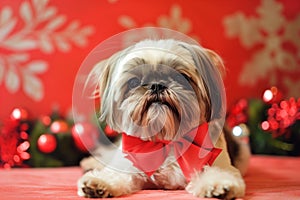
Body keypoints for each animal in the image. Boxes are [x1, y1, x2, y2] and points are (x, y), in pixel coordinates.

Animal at [76, 38, 250, 198]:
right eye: (133, 82)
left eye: (181, 77)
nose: (156, 85)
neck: (164, 141)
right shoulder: (128, 162)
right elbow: (115, 174)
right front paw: (98, 183)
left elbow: (218, 172)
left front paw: (218, 185)